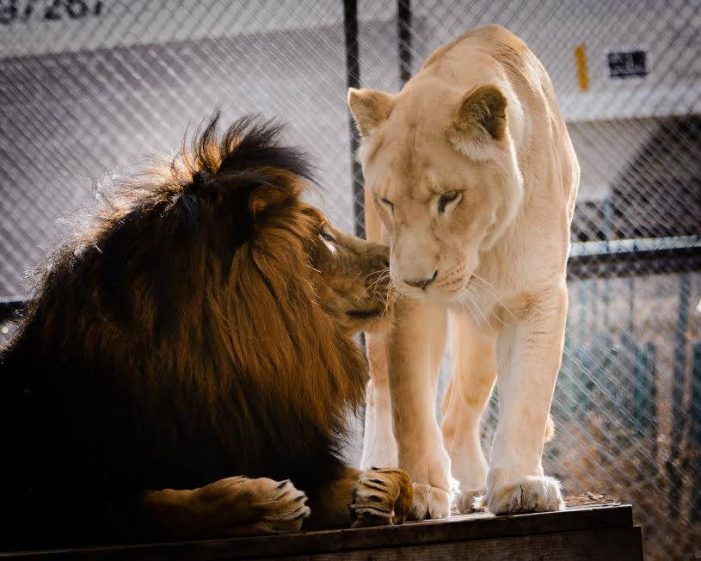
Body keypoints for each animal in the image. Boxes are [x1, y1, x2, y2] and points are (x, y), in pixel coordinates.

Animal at [0, 115, 412, 548]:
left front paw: (376, 491)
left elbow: (402, 479)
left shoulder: (279, 440)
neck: (218, 369)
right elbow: (161, 507)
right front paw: (263, 505)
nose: (396, 264)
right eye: (323, 235)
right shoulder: (67, 494)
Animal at [348, 26, 576, 516]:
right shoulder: (408, 305)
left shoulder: (538, 297)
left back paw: (471, 486)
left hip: (481, 338)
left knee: (458, 412)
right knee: (381, 391)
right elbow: (411, 406)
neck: (482, 251)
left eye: (449, 198)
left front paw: (520, 486)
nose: (419, 279)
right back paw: (379, 478)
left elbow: (528, 399)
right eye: (387, 200)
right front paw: (423, 490)